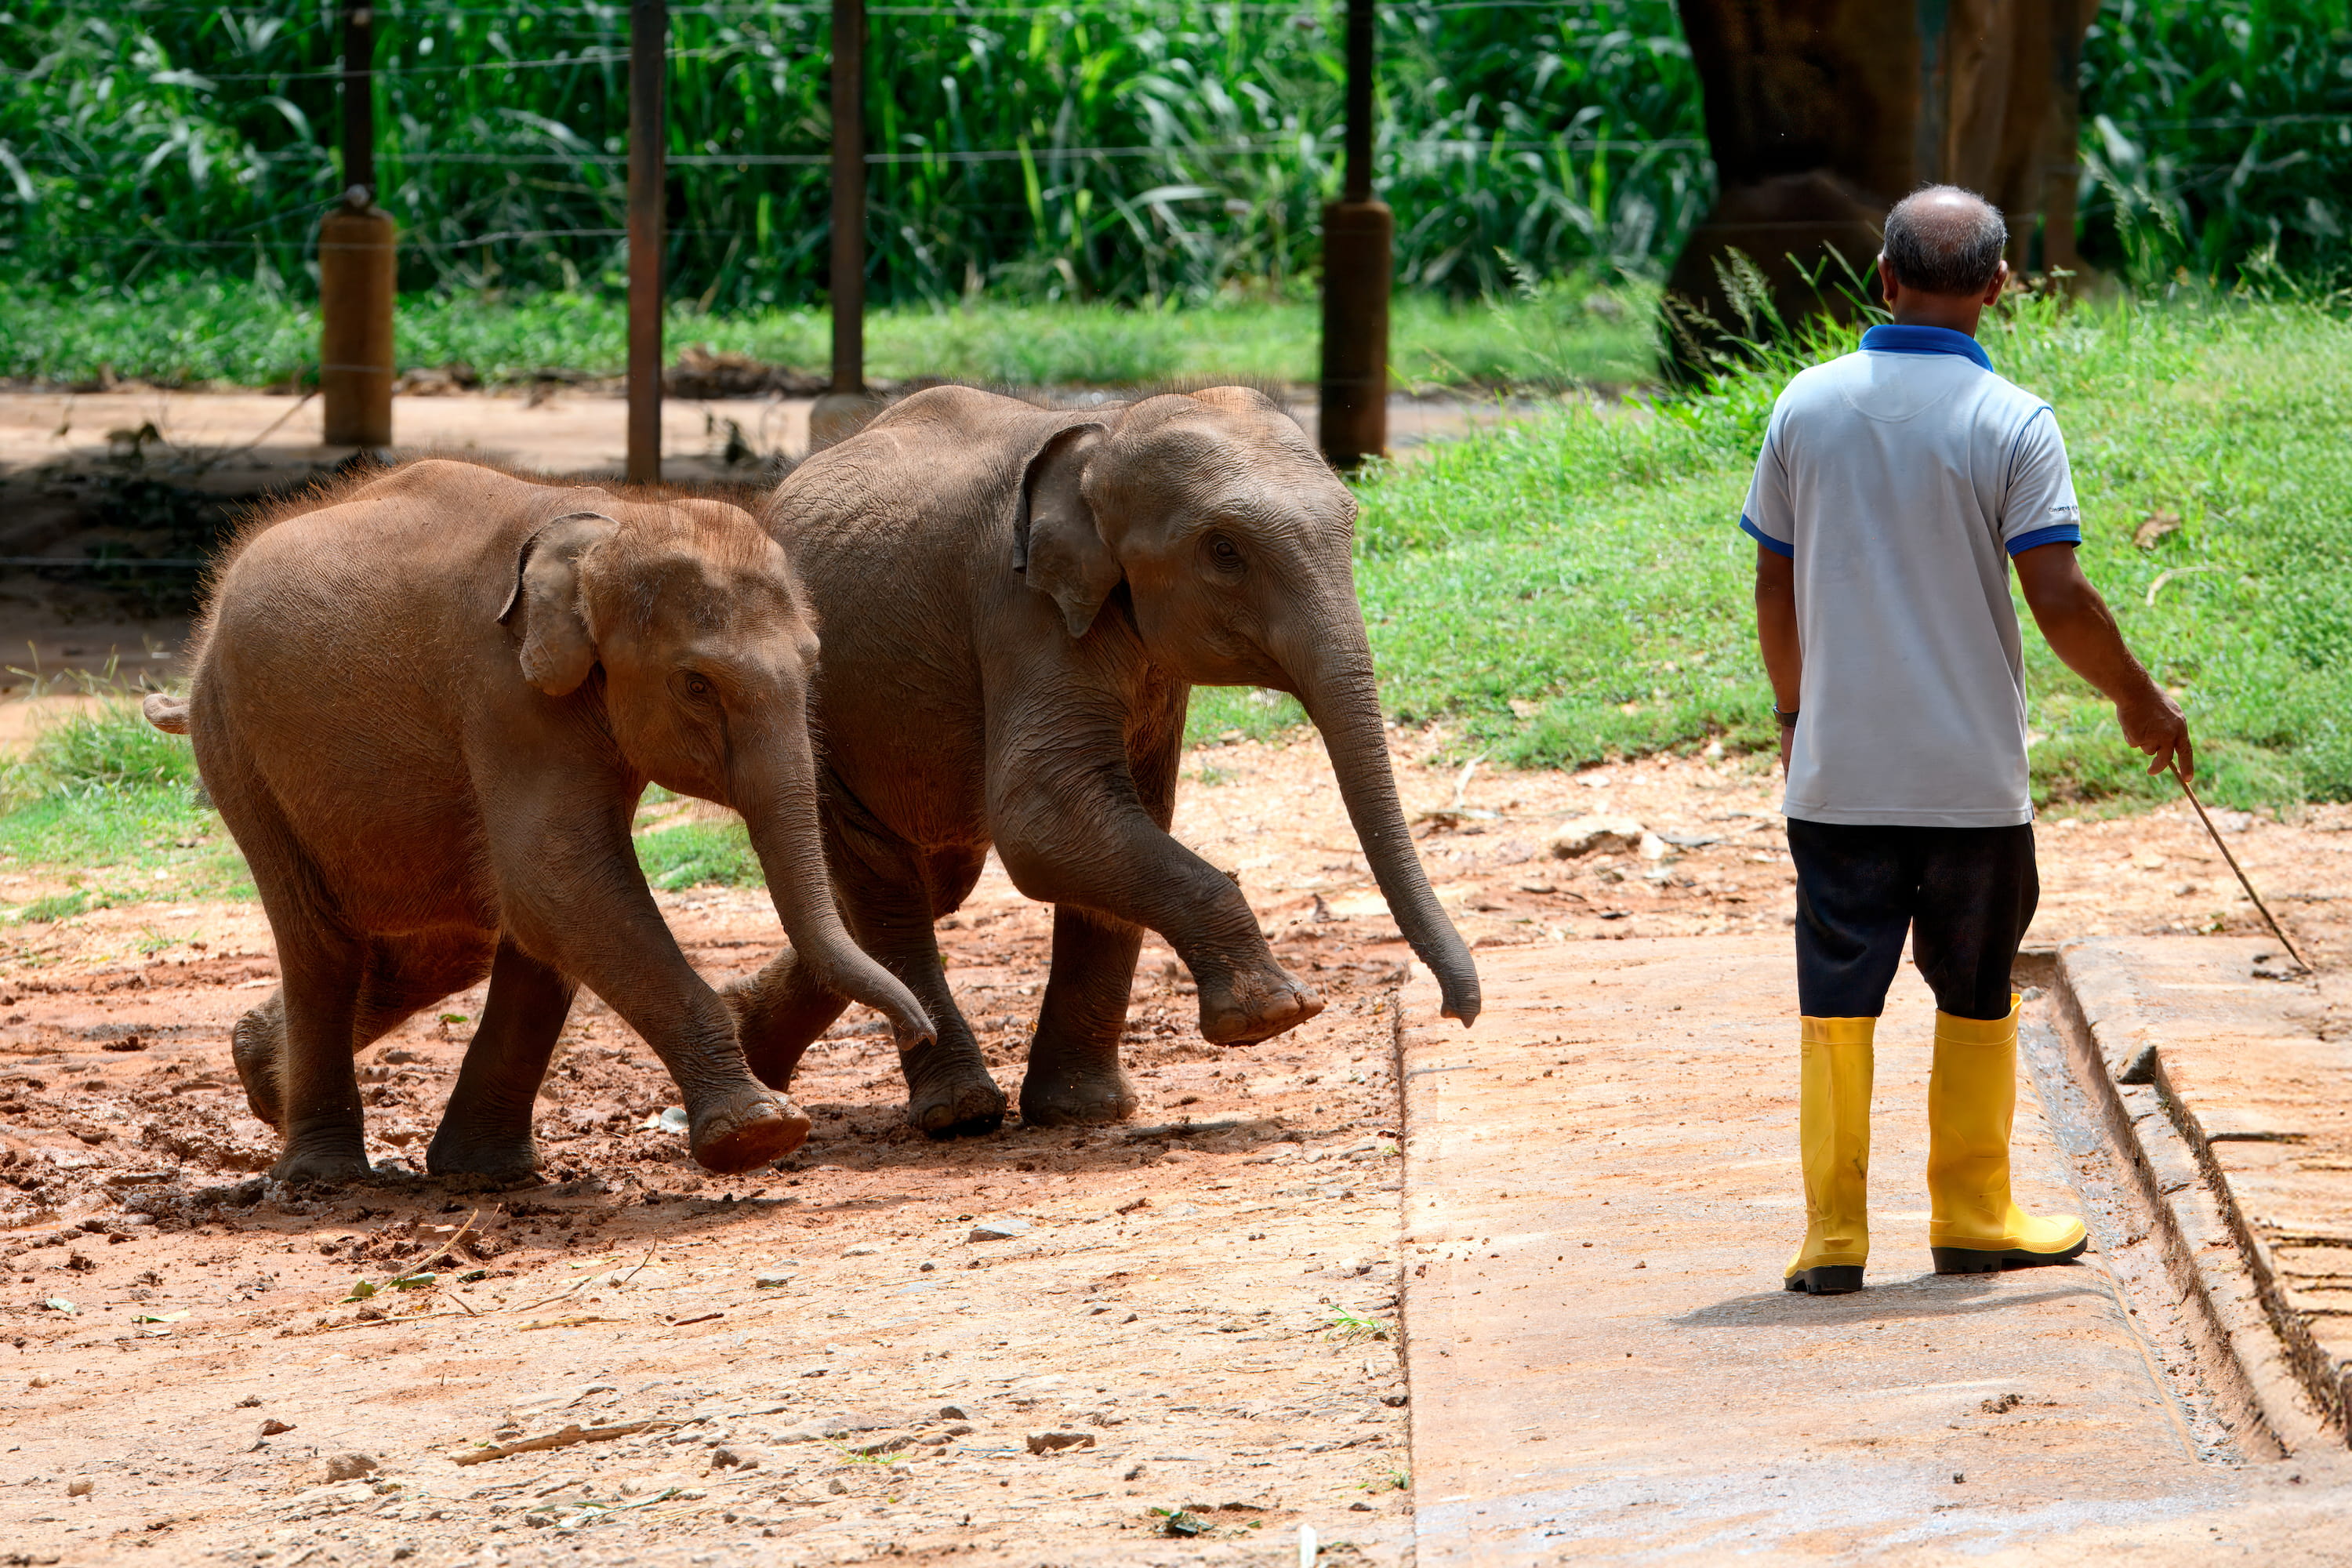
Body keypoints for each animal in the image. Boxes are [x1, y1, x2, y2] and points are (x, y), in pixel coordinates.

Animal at [143, 459, 932, 1183]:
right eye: (696, 685)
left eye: (813, 665)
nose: (918, 1030)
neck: (614, 523)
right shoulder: (506, 694)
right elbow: (558, 880)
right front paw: (760, 1135)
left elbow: (550, 907)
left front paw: (486, 1175)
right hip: (237, 748)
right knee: (322, 946)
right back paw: (321, 1178)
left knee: (443, 942)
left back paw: (259, 1074)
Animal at [720, 384, 1480, 1136]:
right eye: (1224, 550)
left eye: (1351, 524)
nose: (1458, 1012)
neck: (1106, 435)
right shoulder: (1022, 610)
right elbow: (1043, 818)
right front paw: (1274, 1015)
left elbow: (1125, 815)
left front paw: (1084, 1112)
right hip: (809, 715)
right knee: (889, 886)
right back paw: (958, 1114)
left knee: (929, 883)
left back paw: (752, 1045)